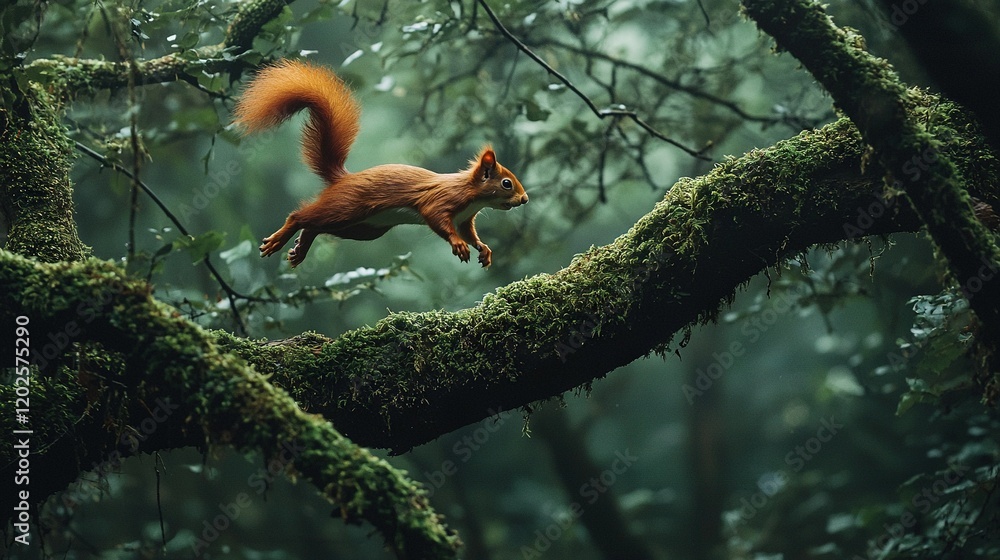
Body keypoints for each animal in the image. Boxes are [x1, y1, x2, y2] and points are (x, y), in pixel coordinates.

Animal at [233, 59, 528, 268]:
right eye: (506, 183)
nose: (525, 199)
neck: (472, 195)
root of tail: (344, 178)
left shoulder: (465, 219)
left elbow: (471, 235)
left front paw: (484, 249)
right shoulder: (441, 200)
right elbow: (437, 219)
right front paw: (458, 245)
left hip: (362, 228)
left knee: (315, 226)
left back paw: (301, 248)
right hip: (346, 208)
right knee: (302, 216)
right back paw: (278, 240)